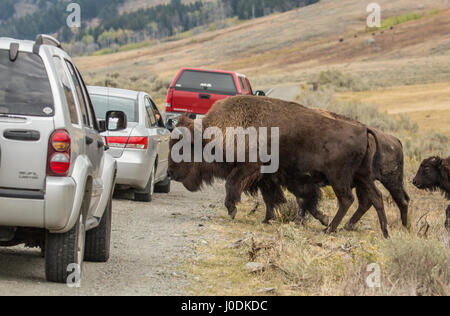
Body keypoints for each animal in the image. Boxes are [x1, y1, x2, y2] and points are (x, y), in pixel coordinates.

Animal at [169, 95, 390, 237]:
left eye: (183, 147)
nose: (170, 173)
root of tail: (363, 130)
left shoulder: (249, 169)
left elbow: (232, 185)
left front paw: (232, 210)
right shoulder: (268, 178)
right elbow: (275, 199)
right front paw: (268, 219)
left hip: (339, 179)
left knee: (347, 199)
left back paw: (330, 229)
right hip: (362, 178)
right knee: (375, 198)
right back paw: (383, 232)